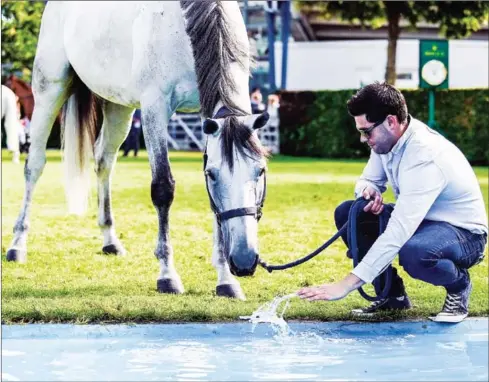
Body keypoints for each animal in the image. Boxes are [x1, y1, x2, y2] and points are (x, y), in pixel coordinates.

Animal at [5, 1, 268, 302]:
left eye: (260, 171)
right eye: (213, 175)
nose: (245, 261)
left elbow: (214, 206)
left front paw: (226, 280)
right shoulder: (155, 107)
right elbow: (163, 188)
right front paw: (167, 275)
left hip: (118, 106)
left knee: (103, 161)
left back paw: (110, 241)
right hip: (50, 90)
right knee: (34, 165)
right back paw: (17, 245)